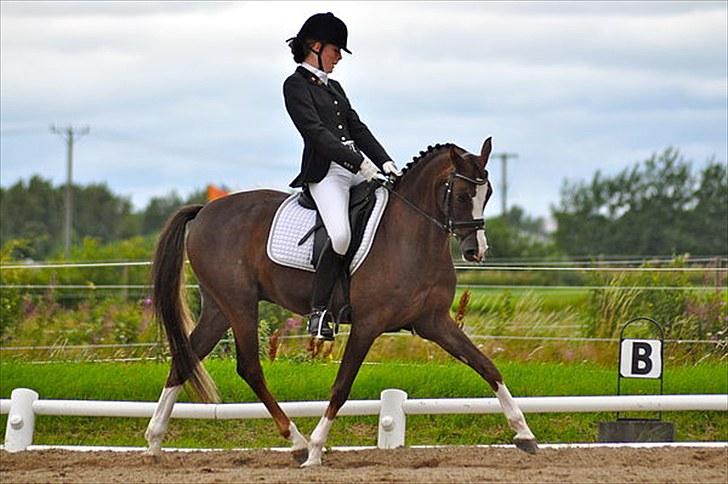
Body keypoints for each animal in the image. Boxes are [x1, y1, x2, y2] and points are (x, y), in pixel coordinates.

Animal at [145, 138, 536, 466]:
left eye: (488, 193)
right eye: (461, 193)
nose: (476, 251)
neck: (413, 236)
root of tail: (206, 210)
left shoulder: (435, 321)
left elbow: (487, 366)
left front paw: (524, 433)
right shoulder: (367, 325)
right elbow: (342, 385)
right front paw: (317, 449)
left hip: (218, 309)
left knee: (185, 359)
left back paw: (154, 443)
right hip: (239, 304)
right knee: (249, 368)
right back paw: (298, 443)